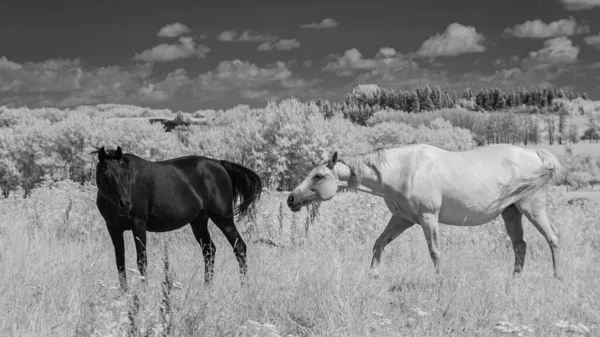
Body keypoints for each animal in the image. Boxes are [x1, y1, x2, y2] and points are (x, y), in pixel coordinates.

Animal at [92, 146, 262, 290]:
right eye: (105, 175)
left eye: (125, 173)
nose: (125, 204)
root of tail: (219, 164)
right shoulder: (113, 228)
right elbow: (120, 261)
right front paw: (124, 292)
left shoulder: (139, 224)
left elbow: (141, 260)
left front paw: (144, 291)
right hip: (199, 222)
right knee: (209, 251)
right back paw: (207, 287)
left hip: (223, 218)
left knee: (239, 247)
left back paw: (244, 287)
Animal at [286, 143, 564, 276]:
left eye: (318, 176)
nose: (291, 199)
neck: (404, 169)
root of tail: (535, 154)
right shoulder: (402, 219)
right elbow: (379, 243)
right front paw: (373, 274)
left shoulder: (428, 219)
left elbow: (435, 253)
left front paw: (441, 282)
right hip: (511, 212)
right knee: (520, 246)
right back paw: (514, 280)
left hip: (532, 208)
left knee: (553, 239)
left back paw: (557, 277)